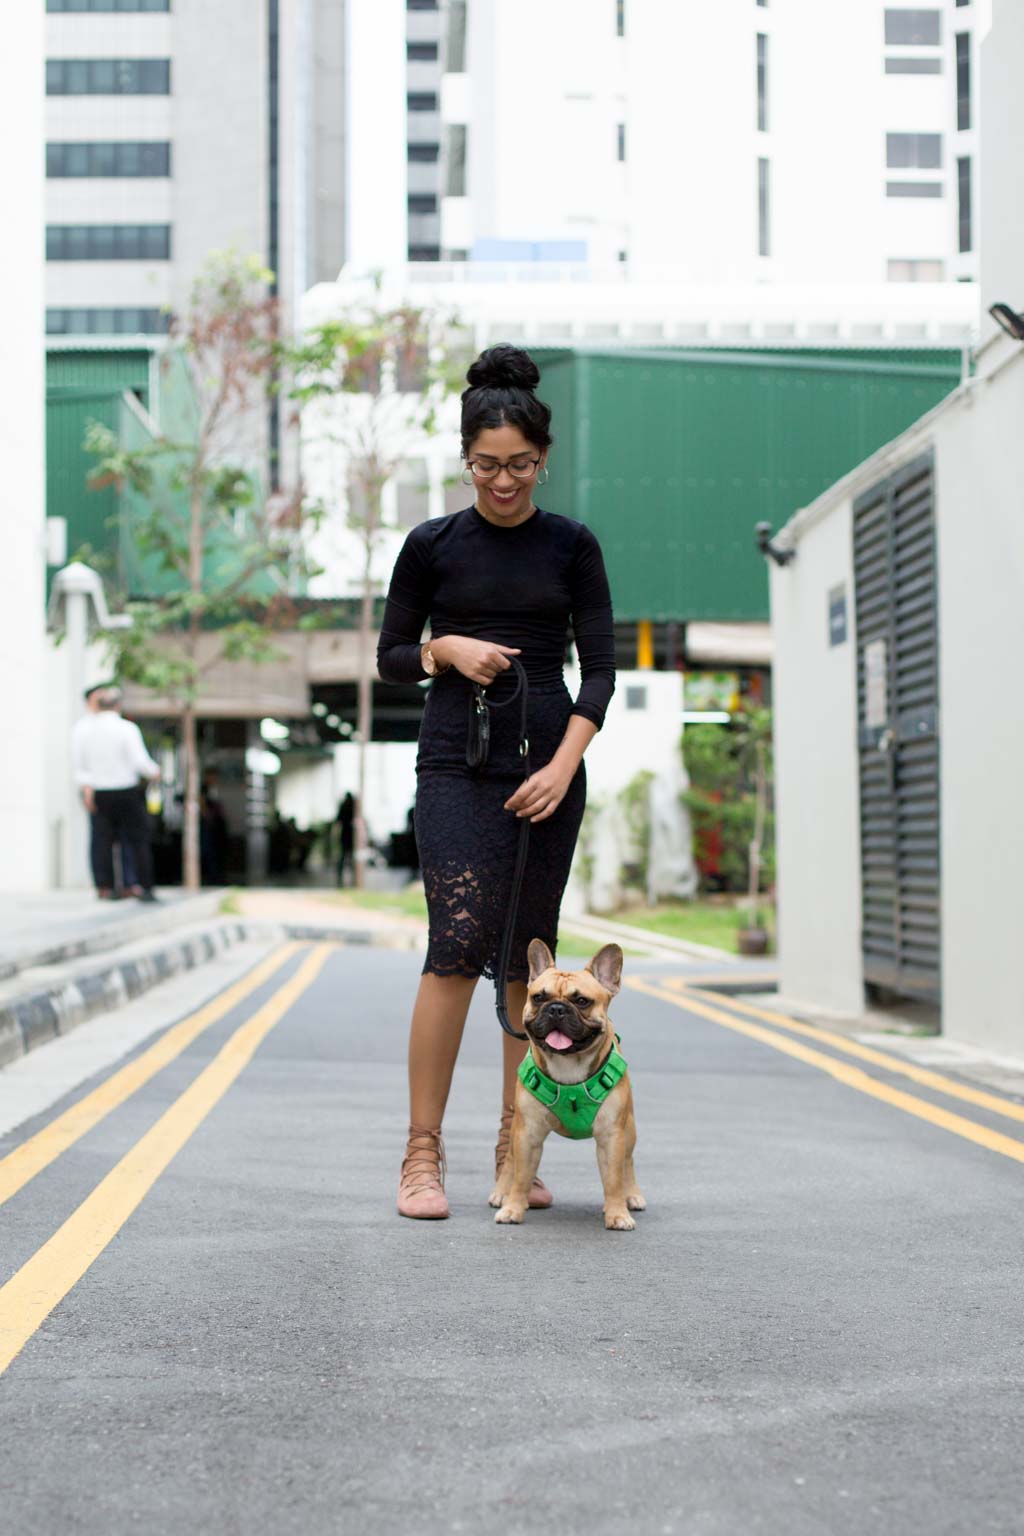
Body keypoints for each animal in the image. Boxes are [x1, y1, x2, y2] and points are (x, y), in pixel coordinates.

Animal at [491, 938, 645, 1230]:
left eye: (582, 1001)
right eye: (538, 997)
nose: (556, 1009)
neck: (569, 1062)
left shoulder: (612, 1135)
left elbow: (613, 1180)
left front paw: (617, 1213)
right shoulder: (527, 1133)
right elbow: (521, 1176)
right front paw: (513, 1208)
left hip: (629, 1129)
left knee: (628, 1162)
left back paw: (632, 1195)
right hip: (516, 1127)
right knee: (510, 1160)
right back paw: (501, 1193)